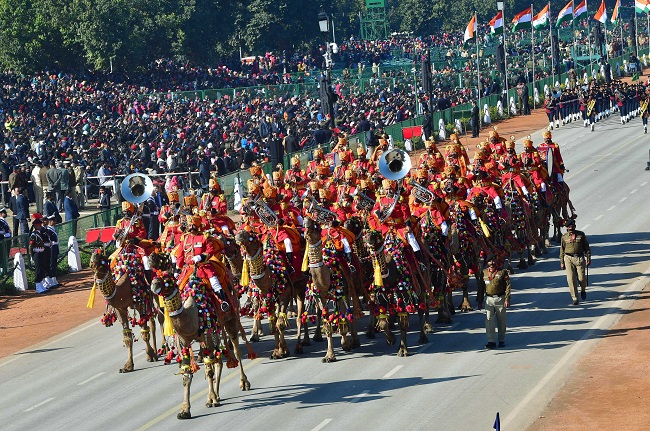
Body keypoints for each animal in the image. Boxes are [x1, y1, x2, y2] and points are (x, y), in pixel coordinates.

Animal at [149, 253, 251, 422]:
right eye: (154, 274)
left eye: (167, 277)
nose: (154, 285)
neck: (193, 313)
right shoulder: (183, 342)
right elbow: (186, 375)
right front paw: (185, 410)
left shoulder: (206, 334)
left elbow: (208, 369)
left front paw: (212, 399)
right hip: (217, 327)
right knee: (219, 359)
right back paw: (216, 395)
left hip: (231, 316)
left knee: (235, 349)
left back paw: (243, 383)